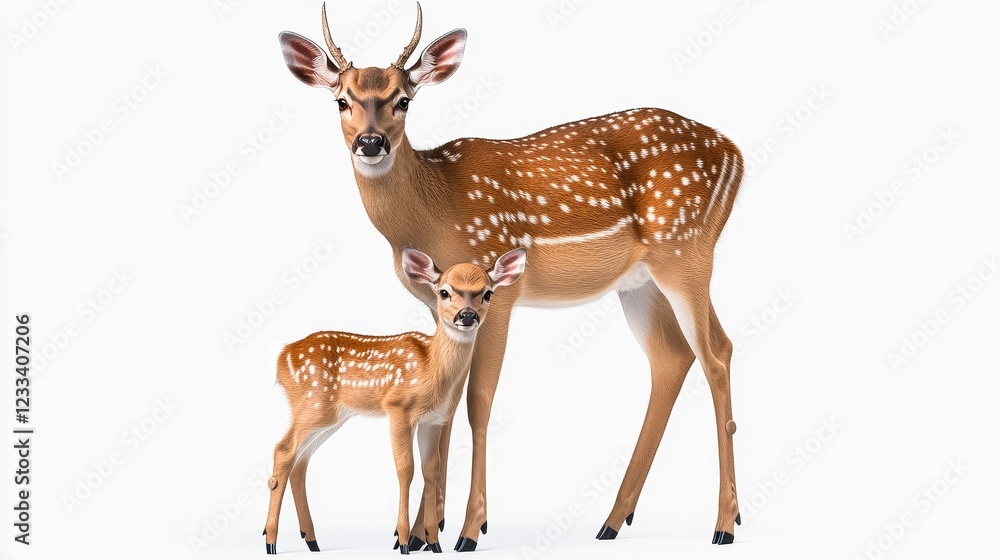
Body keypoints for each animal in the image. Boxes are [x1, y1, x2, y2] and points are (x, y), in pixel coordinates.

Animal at [263, 247, 527, 555]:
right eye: (444, 292)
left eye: (487, 293)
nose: (467, 315)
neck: (431, 368)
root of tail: (281, 358)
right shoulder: (398, 408)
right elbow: (405, 469)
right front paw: (402, 541)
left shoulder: (433, 420)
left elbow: (431, 469)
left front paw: (434, 543)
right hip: (313, 404)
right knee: (283, 452)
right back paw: (271, 541)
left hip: (331, 417)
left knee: (300, 462)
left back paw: (312, 541)